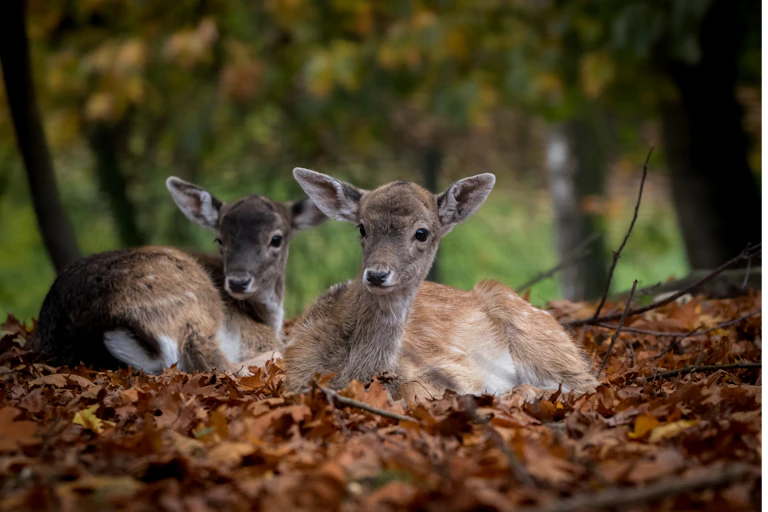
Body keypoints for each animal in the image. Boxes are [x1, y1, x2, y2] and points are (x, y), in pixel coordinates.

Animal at [33, 177, 327, 375]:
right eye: (219, 239)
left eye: (276, 239)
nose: (238, 281)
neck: (265, 316)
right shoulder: (252, 335)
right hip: (194, 303)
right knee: (218, 363)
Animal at [283, 169, 598, 403]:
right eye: (362, 227)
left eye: (422, 232)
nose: (376, 274)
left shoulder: (454, 370)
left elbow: (415, 389)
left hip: (536, 332)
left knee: (586, 383)